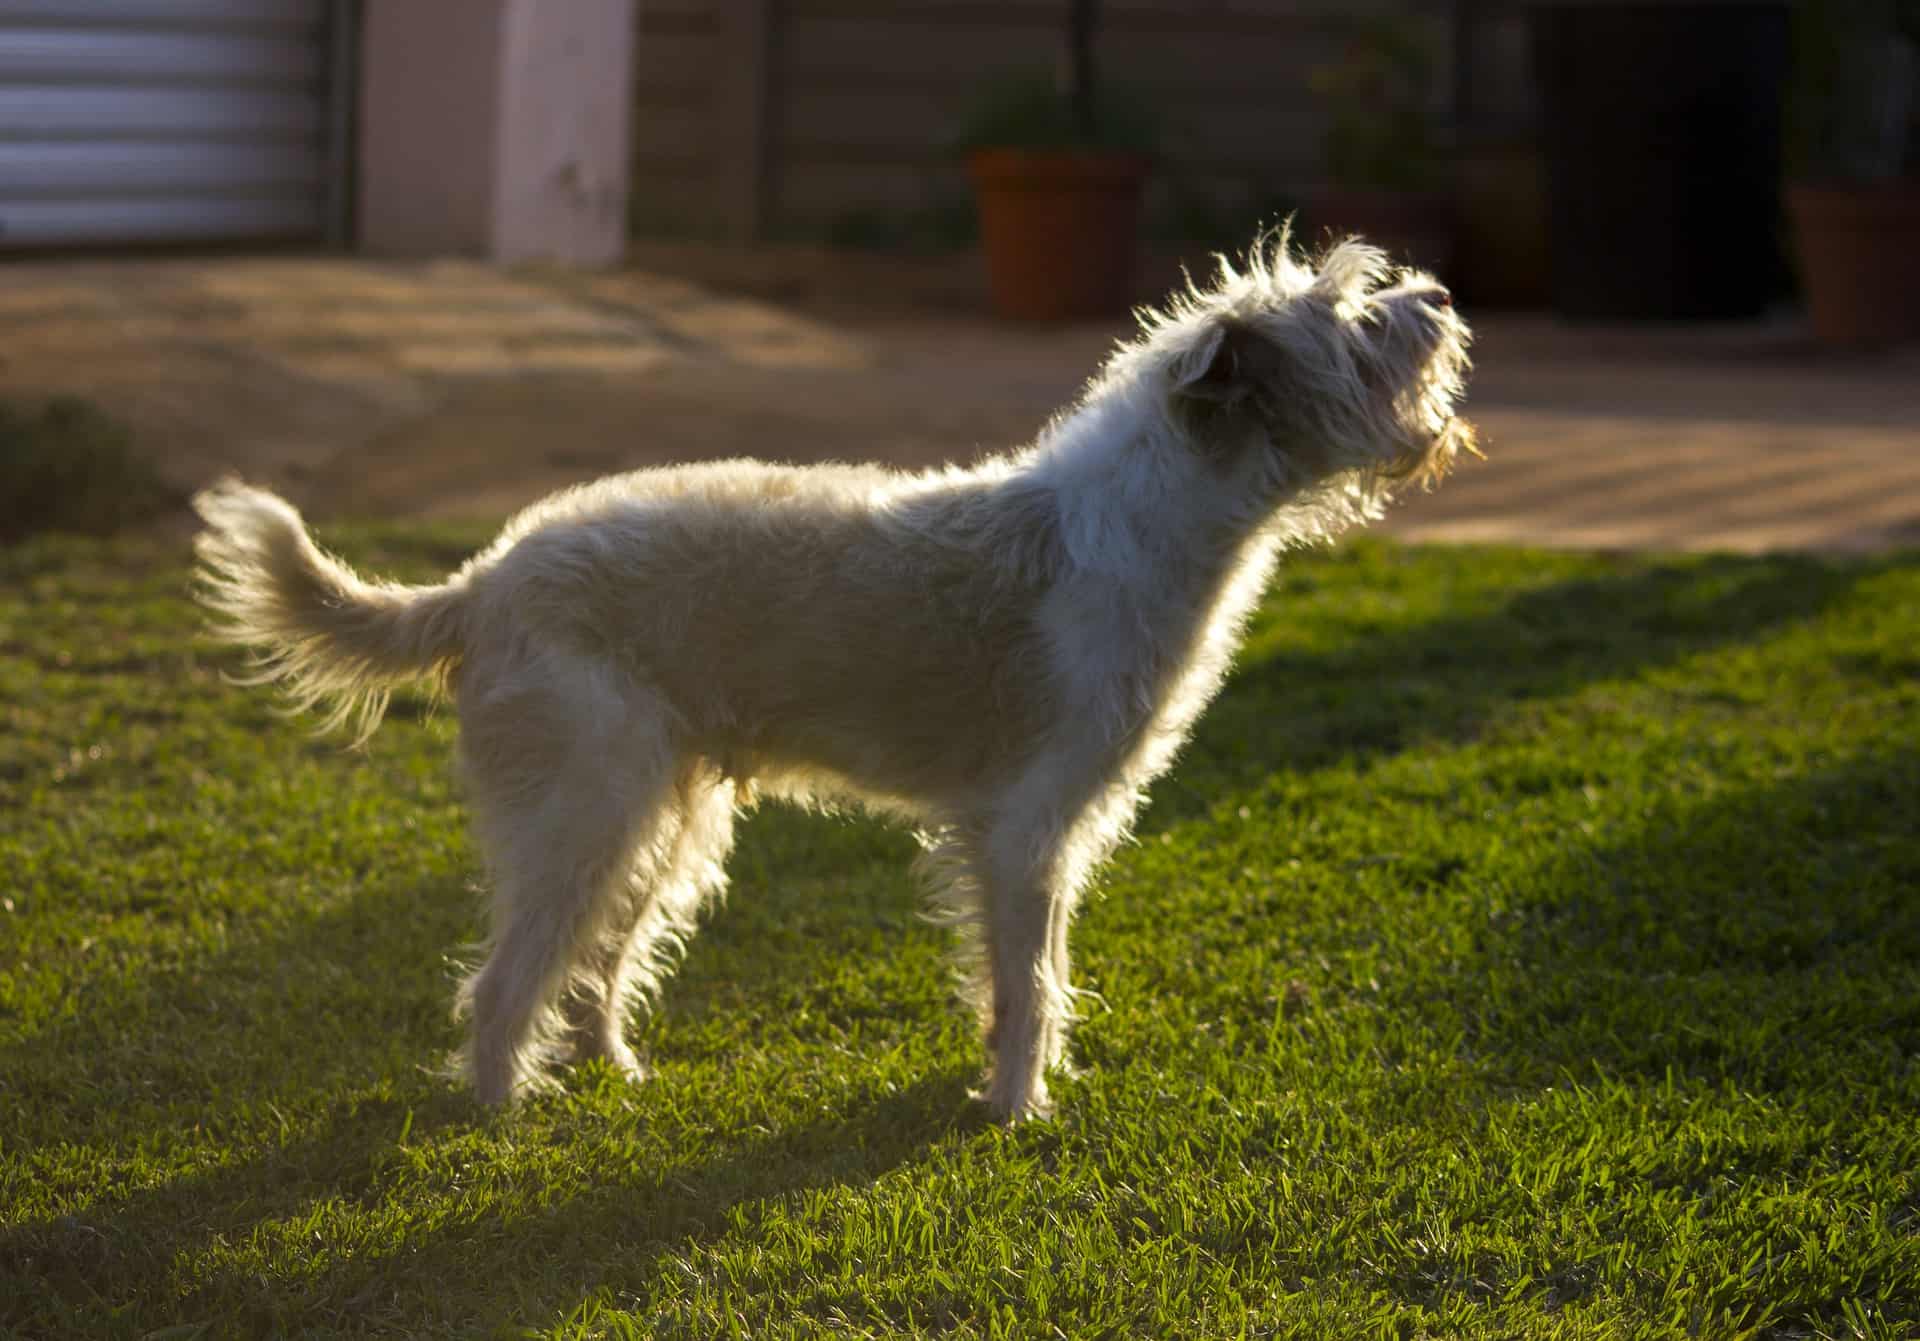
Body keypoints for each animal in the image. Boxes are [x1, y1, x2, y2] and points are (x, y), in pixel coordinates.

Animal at [194, 232, 1474, 1114]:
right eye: (1349, 319)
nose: (1441, 297)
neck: (1146, 521)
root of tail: (485, 577)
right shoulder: (1025, 831)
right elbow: (1030, 983)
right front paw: (1014, 1113)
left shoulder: (1034, 838)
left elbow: (1026, 978)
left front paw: (1011, 1093)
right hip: (584, 815)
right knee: (508, 978)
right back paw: (505, 1110)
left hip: (664, 821)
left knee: (598, 965)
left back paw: (614, 1072)